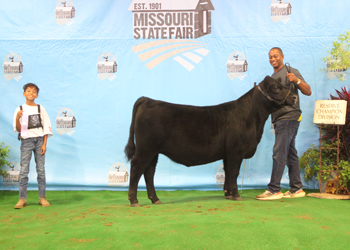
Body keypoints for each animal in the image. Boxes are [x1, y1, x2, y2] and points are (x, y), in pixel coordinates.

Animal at [124, 76, 296, 207]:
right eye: (276, 87)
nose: (294, 97)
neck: (252, 118)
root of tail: (147, 100)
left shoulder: (227, 153)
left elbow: (228, 173)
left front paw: (228, 194)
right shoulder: (236, 151)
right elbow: (234, 172)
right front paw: (236, 195)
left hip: (153, 151)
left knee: (149, 172)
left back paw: (155, 199)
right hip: (146, 148)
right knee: (137, 167)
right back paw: (134, 201)